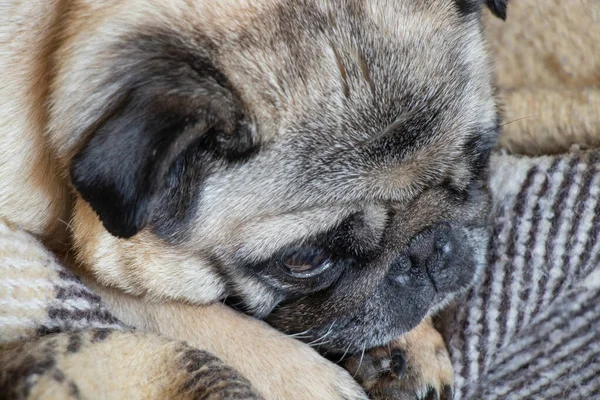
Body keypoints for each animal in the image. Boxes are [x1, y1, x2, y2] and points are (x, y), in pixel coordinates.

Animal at [0, 0, 506, 398]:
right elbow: (193, 315)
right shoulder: (53, 259)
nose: (426, 248)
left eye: (482, 158)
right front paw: (307, 381)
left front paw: (411, 345)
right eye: (305, 259)